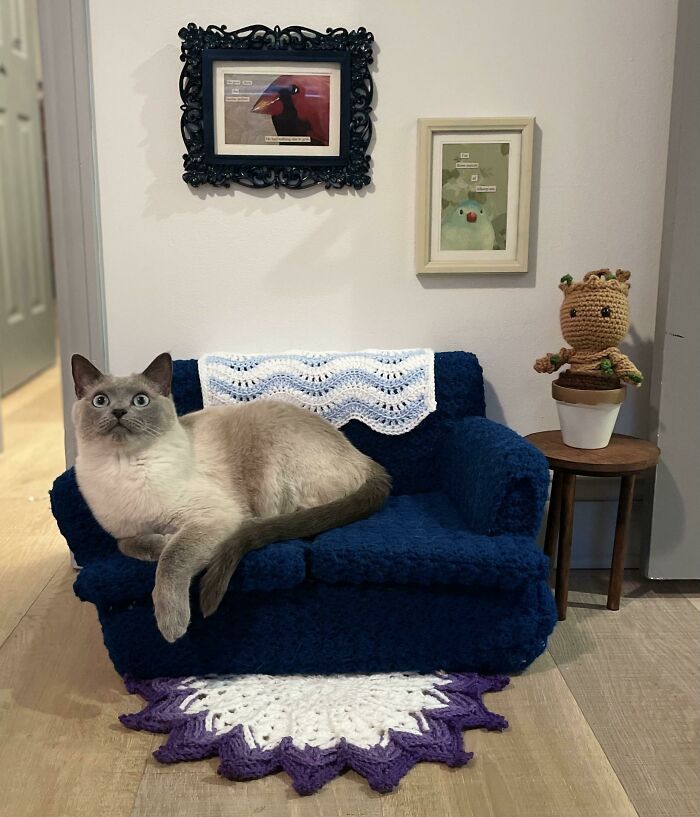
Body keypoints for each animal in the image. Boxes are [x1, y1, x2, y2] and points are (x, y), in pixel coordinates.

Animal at [71, 354, 392, 640]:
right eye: (100, 401)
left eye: (140, 400)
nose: (118, 413)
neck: (124, 465)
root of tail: (365, 459)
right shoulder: (125, 531)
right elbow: (128, 544)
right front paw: (160, 542)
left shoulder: (212, 518)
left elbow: (172, 560)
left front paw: (172, 625)